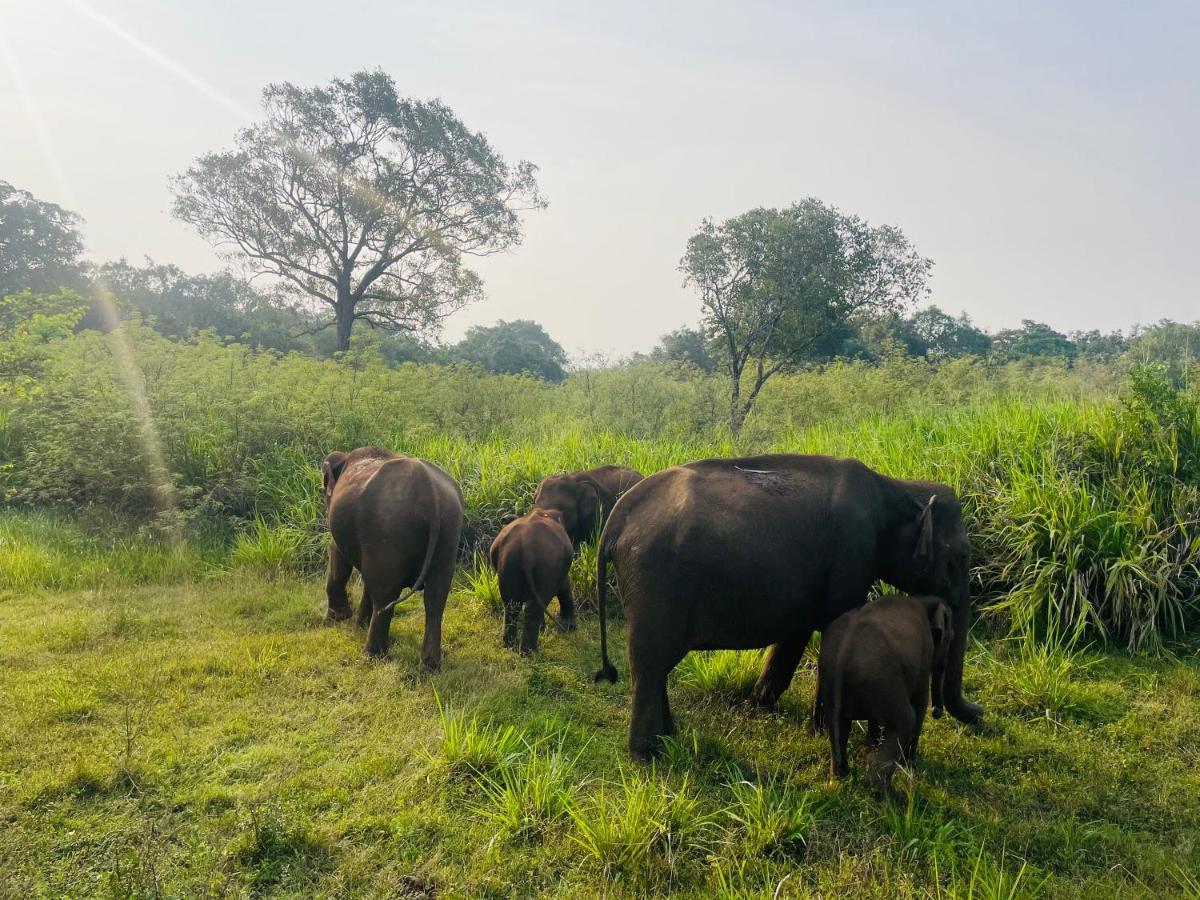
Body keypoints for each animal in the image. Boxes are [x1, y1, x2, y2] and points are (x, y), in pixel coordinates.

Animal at [324, 446, 463, 672]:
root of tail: (431, 494)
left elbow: (337, 554)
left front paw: (338, 619)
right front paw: (356, 622)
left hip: (388, 530)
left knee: (385, 593)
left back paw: (371, 656)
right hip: (449, 532)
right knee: (436, 596)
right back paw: (429, 667)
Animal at [489, 508, 578, 657]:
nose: (504, 518)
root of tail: (527, 551)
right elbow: (563, 586)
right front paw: (570, 628)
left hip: (509, 562)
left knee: (512, 604)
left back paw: (510, 645)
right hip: (548, 565)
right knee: (534, 605)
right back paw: (530, 653)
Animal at [592, 453, 984, 758]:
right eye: (962, 557)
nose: (979, 715)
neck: (896, 487)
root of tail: (616, 519)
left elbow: (796, 633)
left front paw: (761, 707)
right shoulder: (852, 554)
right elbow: (835, 626)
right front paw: (823, 729)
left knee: (657, 664)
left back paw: (668, 736)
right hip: (655, 578)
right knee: (649, 662)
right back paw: (647, 752)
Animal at [816, 600, 955, 796]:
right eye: (950, 638)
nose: (937, 712)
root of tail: (842, 656)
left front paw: (872, 746)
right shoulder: (924, 654)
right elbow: (920, 702)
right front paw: (910, 764)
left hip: (838, 682)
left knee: (840, 727)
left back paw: (840, 779)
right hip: (880, 677)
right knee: (906, 720)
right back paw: (889, 794)